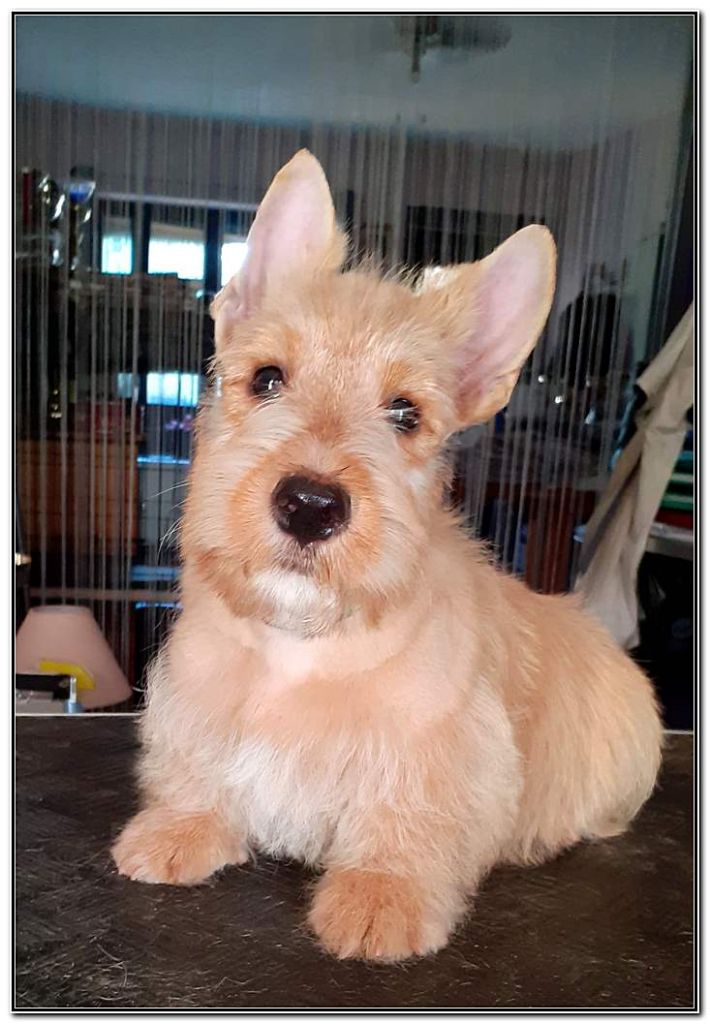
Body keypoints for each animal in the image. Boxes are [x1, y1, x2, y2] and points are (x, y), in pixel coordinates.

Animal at [112, 150, 663, 961]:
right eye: (267, 378)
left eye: (406, 413)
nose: (310, 505)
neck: (301, 642)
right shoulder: (197, 693)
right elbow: (196, 766)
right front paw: (178, 827)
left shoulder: (434, 744)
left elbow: (408, 815)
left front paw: (382, 894)